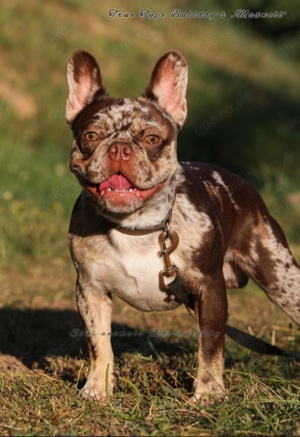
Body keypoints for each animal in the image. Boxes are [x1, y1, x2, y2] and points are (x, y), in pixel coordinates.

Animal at [65, 48, 300, 402]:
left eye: (151, 138)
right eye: (91, 136)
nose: (120, 148)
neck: (136, 225)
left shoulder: (209, 289)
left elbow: (211, 344)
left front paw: (209, 393)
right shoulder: (90, 290)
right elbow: (99, 343)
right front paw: (97, 388)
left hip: (280, 277)